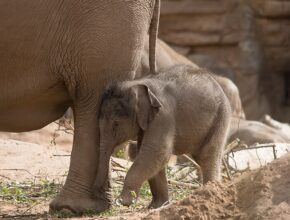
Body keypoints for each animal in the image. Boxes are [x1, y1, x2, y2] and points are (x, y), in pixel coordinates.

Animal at [95, 65, 231, 208]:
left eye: (116, 123)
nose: (102, 194)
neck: (137, 83)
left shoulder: (163, 116)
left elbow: (155, 152)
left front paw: (122, 201)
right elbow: (151, 155)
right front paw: (158, 206)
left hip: (222, 116)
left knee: (207, 155)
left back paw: (209, 193)